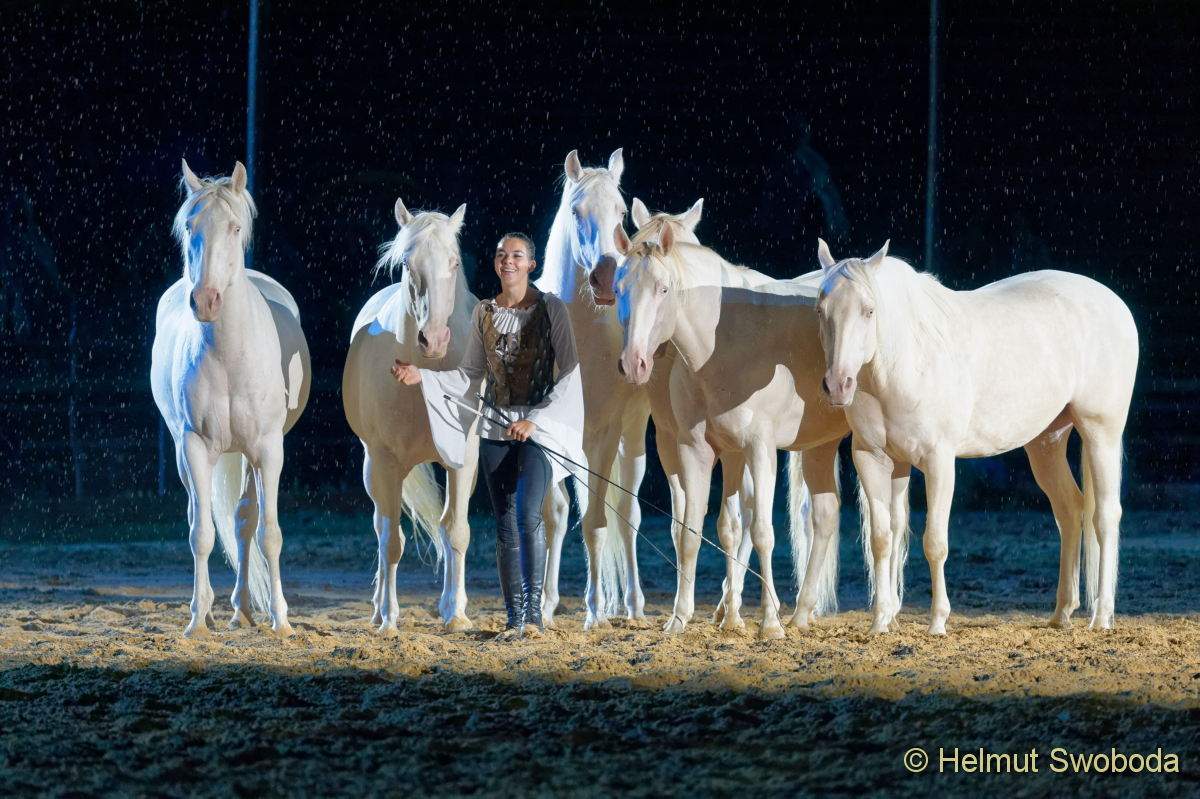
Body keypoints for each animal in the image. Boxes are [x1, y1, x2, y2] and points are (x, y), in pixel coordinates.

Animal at [151, 160, 311, 638]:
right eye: (190, 226)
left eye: (235, 227)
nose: (205, 301)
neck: (227, 356)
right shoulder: (194, 447)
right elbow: (201, 534)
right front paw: (197, 623)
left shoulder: (269, 450)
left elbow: (269, 534)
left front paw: (282, 620)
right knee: (203, 517)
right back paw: (215, 610)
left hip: (246, 455)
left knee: (244, 522)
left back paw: (243, 609)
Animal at [343, 199, 479, 636]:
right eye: (406, 263)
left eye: (454, 261)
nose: (433, 339)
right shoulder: (386, 463)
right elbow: (391, 541)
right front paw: (389, 618)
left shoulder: (463, 461)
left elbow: (456, 531)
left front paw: (457, 614)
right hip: (375, 470)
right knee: (382, 529)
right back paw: (377, 610)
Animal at [612, 224, 905, 639]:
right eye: (619, 287)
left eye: (663, 288)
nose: (633, 363)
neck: (723, 345)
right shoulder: (695, 450)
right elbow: (690, 533)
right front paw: (679, 618)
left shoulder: (759, 449)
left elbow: (763, 533)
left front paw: (769, 623)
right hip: (819, 446)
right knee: (826, 517)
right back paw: (802, 613)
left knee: (893, 523)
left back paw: (885, 612)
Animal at [815, 240, 1138, 634]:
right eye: (821, 309)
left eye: (869, 310)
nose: (838, 385)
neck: (909, 358)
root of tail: (1114, 303)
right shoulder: (875, 460)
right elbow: (883, 538)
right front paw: (880, 622)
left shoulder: (938, 461)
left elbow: (935, 542)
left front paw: (938, 621)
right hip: (1046, 443)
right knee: (1069, 510)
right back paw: (1062, 612)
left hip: (1100, 432)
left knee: (1104, 516)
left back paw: (1102, 617)